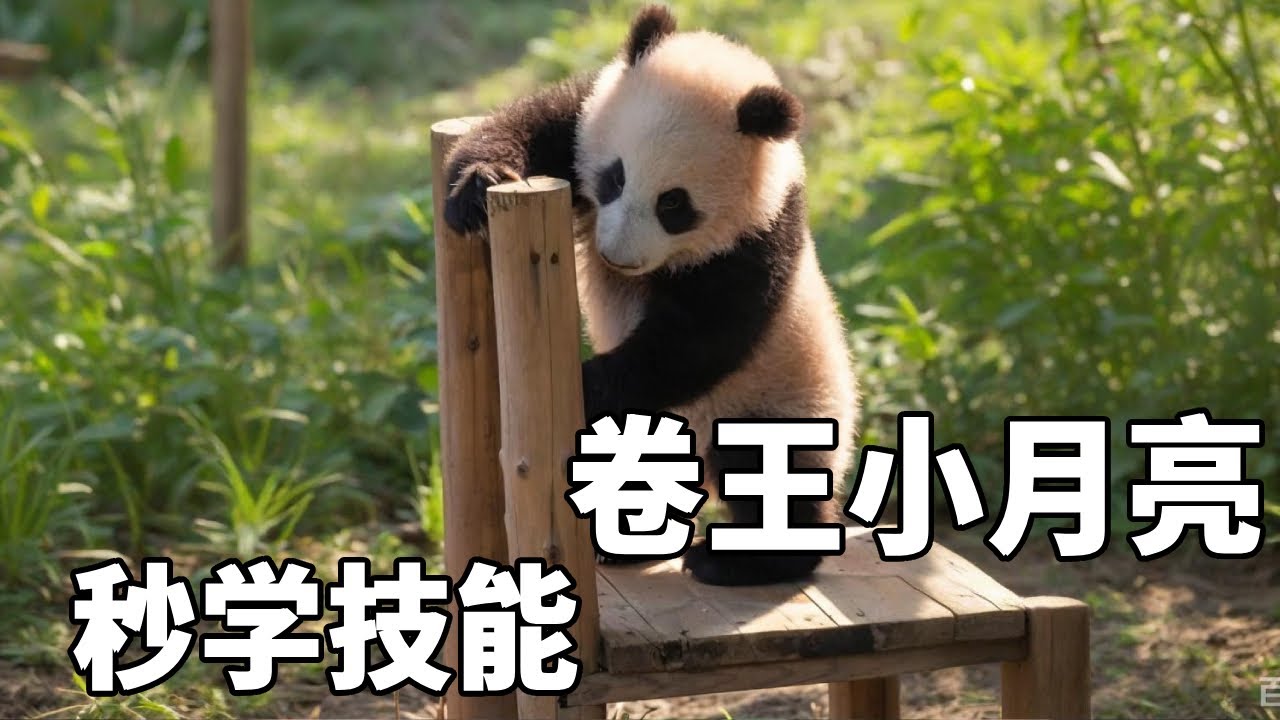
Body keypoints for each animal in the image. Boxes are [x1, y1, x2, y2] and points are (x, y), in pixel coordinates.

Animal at [443, 4, 858, 587]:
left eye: (674, 204)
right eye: (614, 177)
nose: (616, 255)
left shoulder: (758, 238)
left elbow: (695, 341)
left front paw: (585, 384)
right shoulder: (586, 115)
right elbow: (529, 122)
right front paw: (478, 188)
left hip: (781, 404)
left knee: (771, 480)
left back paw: (741, 560)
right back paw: (627, 543)